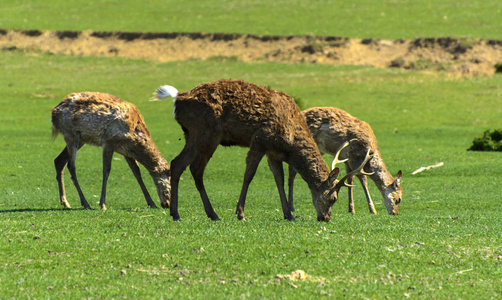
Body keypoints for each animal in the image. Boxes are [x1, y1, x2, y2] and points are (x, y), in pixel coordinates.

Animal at [152, 78, 372, 221]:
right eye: (333, 198)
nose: (325, 218)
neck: (290, 141)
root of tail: (177, 98)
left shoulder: (273, 152)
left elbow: (279, 179)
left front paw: (288, 214)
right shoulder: (260, 140)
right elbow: (249, 175)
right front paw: (240, 213)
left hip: (191, 135)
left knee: (177, 163)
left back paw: (175, 213)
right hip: (207, 133)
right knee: (196, 169)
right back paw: (212, 214)